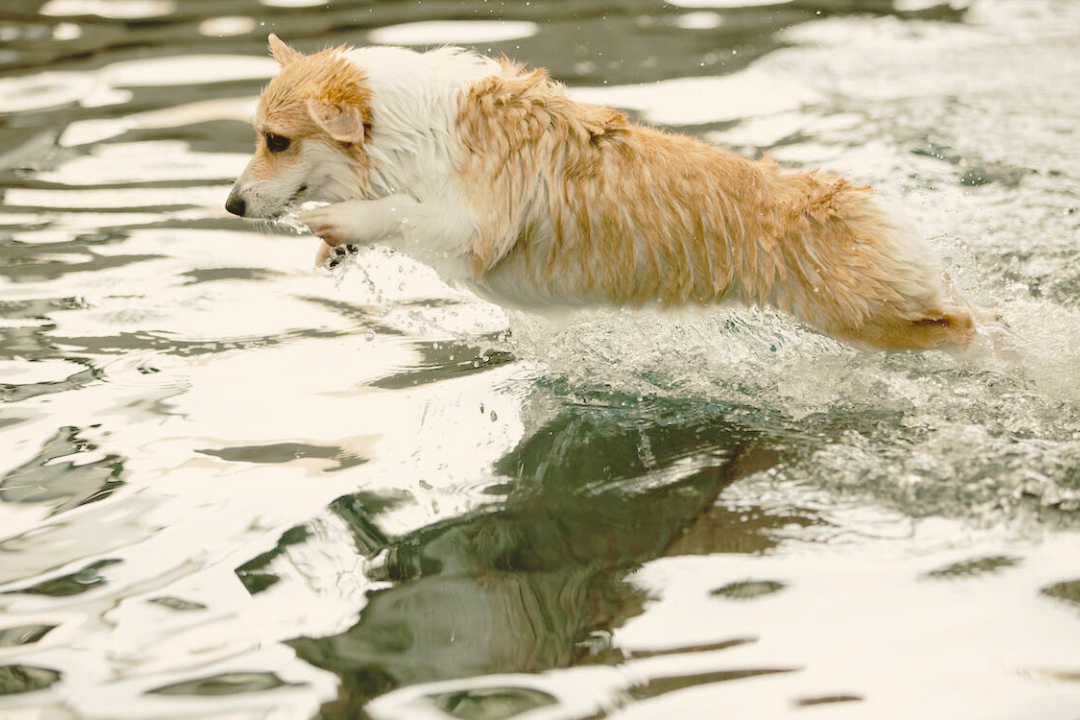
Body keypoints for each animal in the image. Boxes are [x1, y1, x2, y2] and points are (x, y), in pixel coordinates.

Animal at [227, 36, 989, 351]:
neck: (403, 125)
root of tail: (857, 195)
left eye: (277, 141)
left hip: (871, 317)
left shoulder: (471, 228)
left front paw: (337, 219)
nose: (230, 206)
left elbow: (400, 212)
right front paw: (333, 245)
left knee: (966, 328)